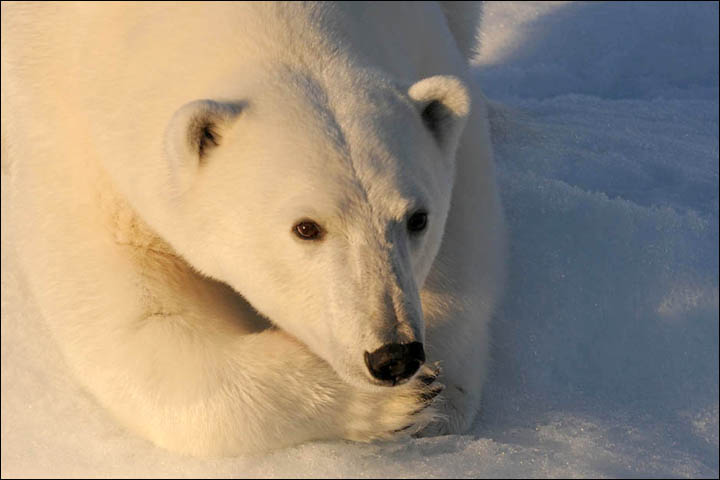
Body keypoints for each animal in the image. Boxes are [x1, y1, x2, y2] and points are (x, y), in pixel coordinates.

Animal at [2, 0, 504, 458]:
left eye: (417, 219)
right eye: (306, 228)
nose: (394, 356)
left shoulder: (423, 38)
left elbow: (465, 214)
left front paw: (442, 397)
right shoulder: (73, 132)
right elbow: (139, 328)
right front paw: (400, 402)